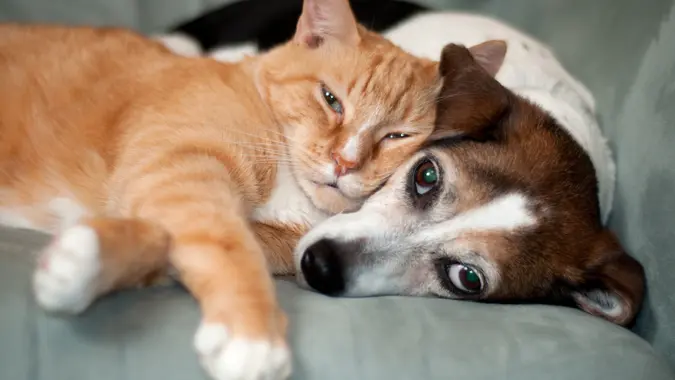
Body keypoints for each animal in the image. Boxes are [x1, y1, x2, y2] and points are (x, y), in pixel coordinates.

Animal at [0, 0, 508, 380]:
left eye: (397, 136)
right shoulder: (181, 167)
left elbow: (165, 244)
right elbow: (227, 245)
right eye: (330, 100)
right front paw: (252, 336)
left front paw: (80, 263)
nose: (344, 163)